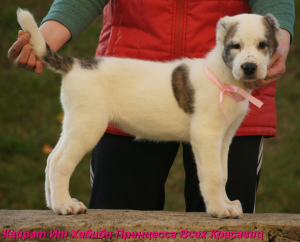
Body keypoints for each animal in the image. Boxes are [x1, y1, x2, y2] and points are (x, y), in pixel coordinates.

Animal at [17, 9, 282, 217]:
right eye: (235, 46)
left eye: (263, 45)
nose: (249, 67)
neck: (223, 77)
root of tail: (74, 64)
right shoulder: (206, 136)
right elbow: (213, 174)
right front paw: (219, 209)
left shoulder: (225, 139)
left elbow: (224, 173)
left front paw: (227, 203)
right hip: (87, 125)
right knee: (60, 162)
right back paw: (65, 206)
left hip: (75, 124)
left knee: (52, 159)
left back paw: (55, 203)